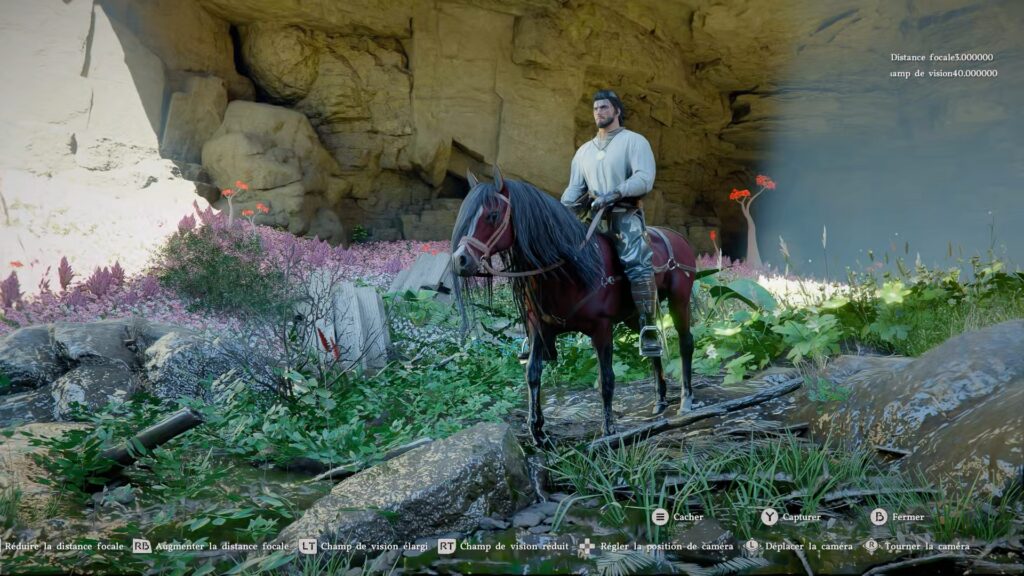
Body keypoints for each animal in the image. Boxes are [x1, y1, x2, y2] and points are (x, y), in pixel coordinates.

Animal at [450, 166, 696, 448]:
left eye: (492, 215)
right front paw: (537, 431)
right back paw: (660, 400)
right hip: (634, 315)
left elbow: (606, 378)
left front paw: (608, 430)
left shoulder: (602, 328)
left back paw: (686, 401)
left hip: (679, 301)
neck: (566, 268)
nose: (460, 260)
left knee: (685, 342)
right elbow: (533, 374)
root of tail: (677, 237)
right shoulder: (538, 327)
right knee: (652, 341)